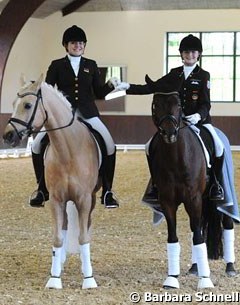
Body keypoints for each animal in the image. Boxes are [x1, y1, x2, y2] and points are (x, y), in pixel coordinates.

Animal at [3, 75, 101, 288]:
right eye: (13, 104)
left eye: (28, 105)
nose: (8, 136)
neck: (68, 150)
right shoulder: (56, 200)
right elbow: (57, 238)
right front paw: (54, 279)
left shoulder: (84, 200)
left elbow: (83, 237)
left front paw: (89, 279)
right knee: (63, 227)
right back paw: (61, 262)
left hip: (91, 199)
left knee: (86, 227)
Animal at [149, 89, 215, 288]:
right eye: (155, 104)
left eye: (178, 104)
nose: (169, 133)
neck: (176, 158)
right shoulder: (167, 201)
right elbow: (173, 237)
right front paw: (172, 278)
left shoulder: (194, 199)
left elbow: (198, 237)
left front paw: (205, 280)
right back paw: (195, 268)